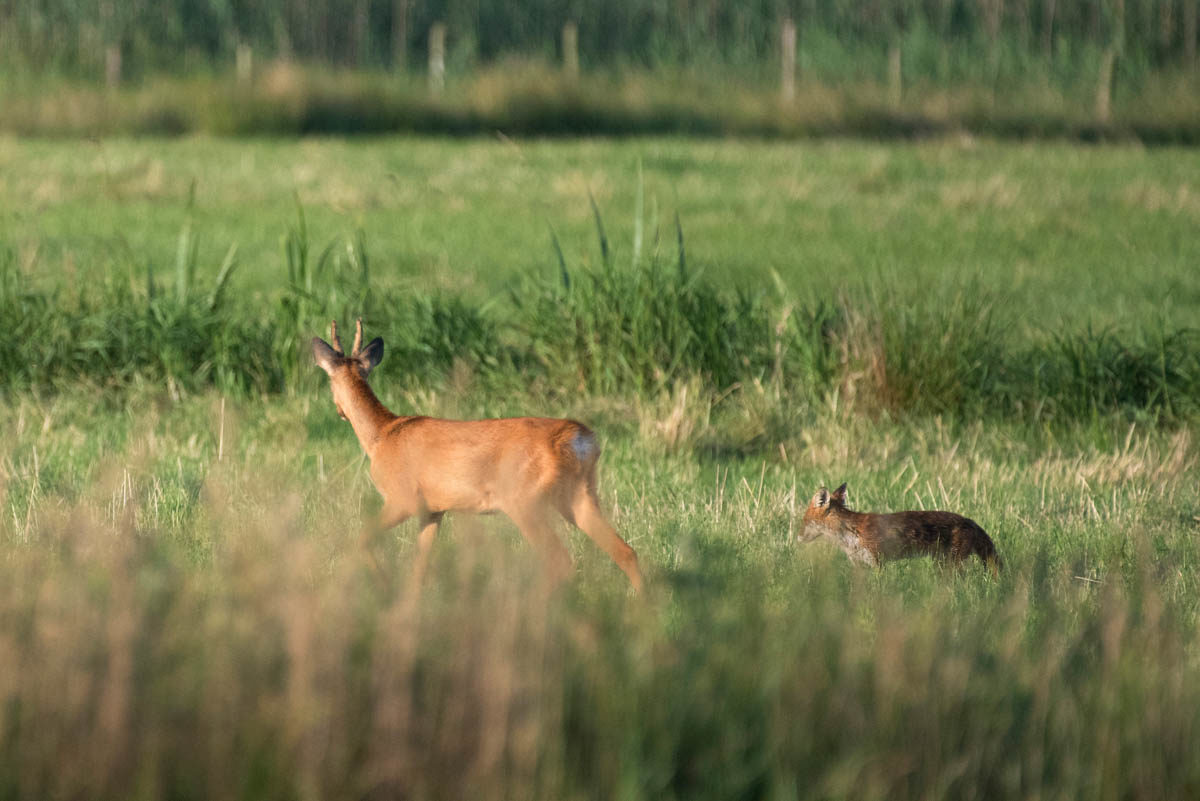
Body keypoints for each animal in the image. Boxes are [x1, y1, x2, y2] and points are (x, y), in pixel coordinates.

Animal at [314, 316, 643, 592]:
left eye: (329, 383)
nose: (339, 411)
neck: (382, 435)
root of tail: (580, 439)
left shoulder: (402, 498)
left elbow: (361, 539)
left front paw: (384, 585)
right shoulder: (433, 509)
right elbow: (420, 566)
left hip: (524, 500)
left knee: (560, 561)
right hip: (579, 494)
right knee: (626, 552)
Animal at [796, 484, 1003, 573]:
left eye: (803, 521)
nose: (797, 539)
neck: (850, 534)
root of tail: (970, 520)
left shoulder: (878, 561)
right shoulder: (858, 564)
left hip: (950, 564)